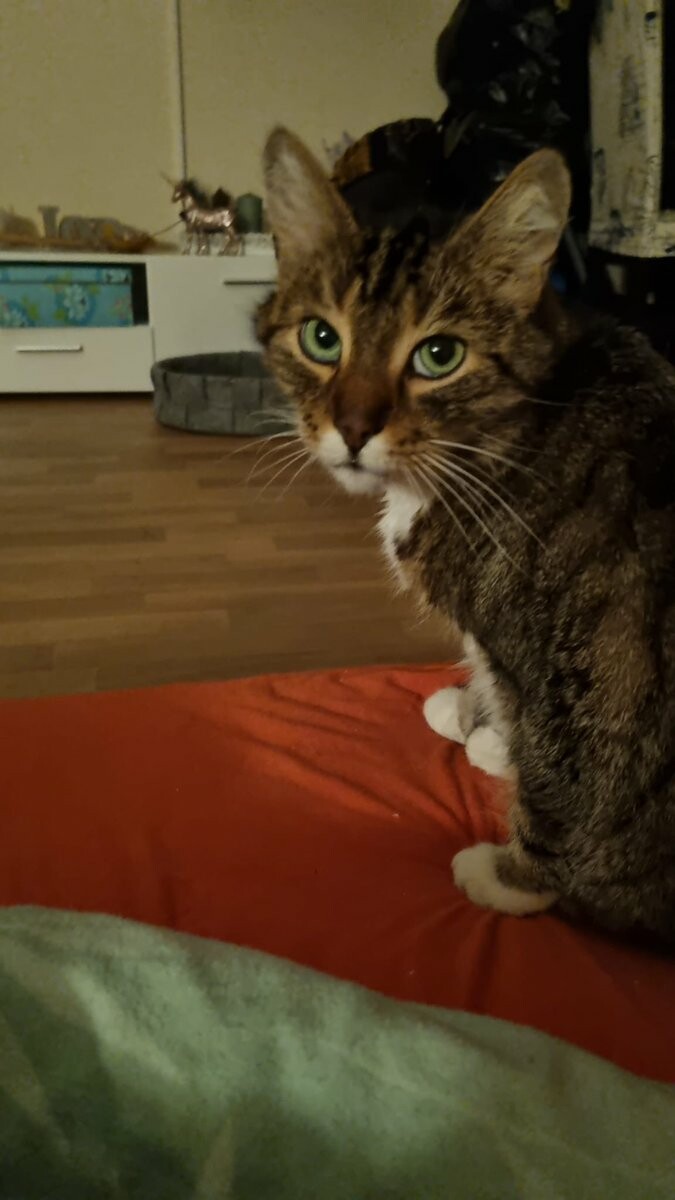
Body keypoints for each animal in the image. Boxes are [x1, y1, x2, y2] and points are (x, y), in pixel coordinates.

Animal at [257, 126, 675, 943]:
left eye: (438, 355)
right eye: (321, 339)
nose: (353, 427)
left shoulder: (587, 650)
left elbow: (569, 773)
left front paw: (514, 878)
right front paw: (483, 724)